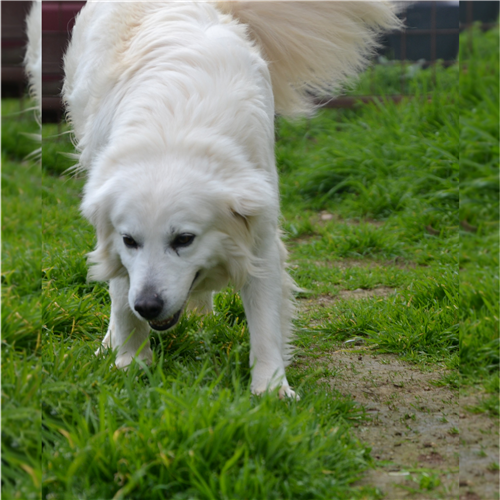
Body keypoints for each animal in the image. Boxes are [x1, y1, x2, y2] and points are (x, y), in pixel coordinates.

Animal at [62, 1, 400, 398]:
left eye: (184, 240)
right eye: (131, 241)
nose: (148, 305)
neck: (173, 135)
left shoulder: (261, 236)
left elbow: (266, 322)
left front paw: (272, 390)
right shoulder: (118, 247)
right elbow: (121, 303)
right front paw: (130, 364)